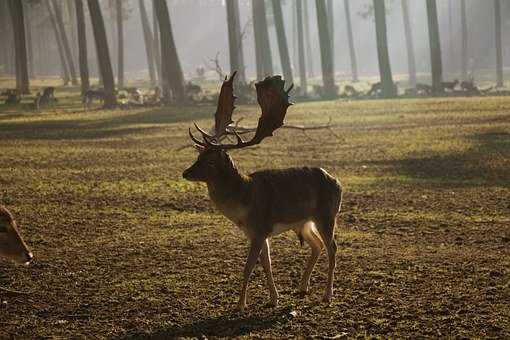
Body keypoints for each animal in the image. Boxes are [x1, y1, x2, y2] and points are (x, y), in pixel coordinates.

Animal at [183, 72, 342, 314]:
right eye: (198, 156)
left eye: (209, 161)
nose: (185, 173)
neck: (243, 202)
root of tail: (338, 182)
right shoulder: (258, 232)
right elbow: (267, 264)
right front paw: (274, 299)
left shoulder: (258, 229)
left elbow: (248, 268)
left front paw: (240, 305)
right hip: (304, 222)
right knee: (318, 245)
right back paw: (302, 287)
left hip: (327, 215)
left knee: (332, 247)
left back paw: (327, 295)